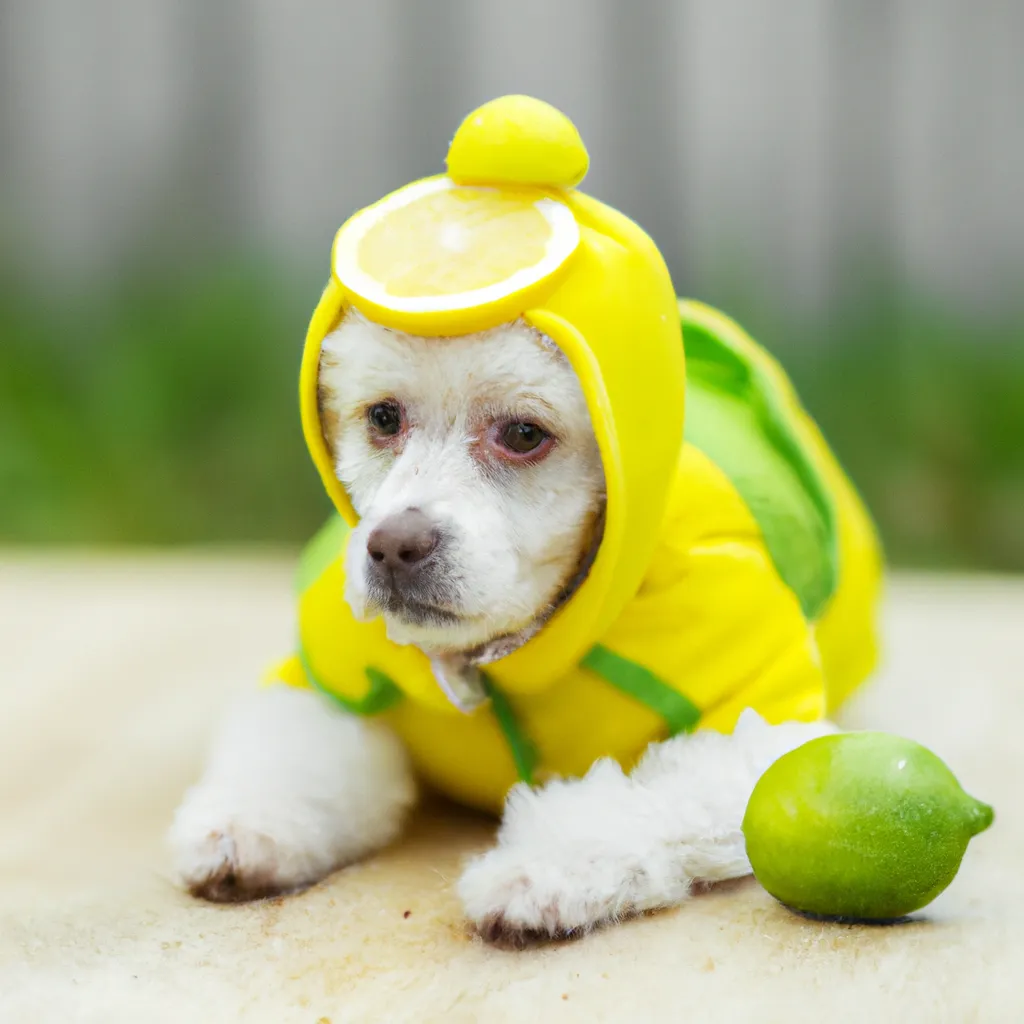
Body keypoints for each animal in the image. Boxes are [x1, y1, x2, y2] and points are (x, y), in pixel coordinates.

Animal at [169, 313, 839, 942]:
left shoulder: (755, 733)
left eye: (523, 434)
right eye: (383, 417)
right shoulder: (329, 681)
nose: (393, 548)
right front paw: (247, 824)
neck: (493, 655)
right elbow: (294, 752)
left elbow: (644, 798)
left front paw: (542, 870)